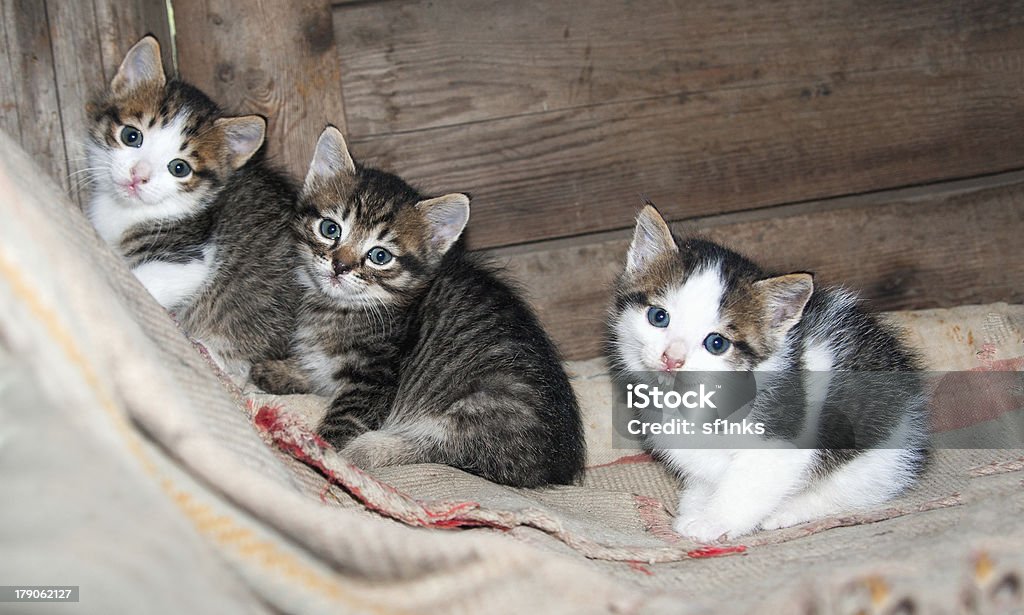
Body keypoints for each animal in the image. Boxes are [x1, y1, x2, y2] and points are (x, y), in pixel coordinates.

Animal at [252, 126, 589, 487]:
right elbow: (320, 373)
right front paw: (282, 371)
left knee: (437, 451)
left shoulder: (374, 383)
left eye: (380, 255)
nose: (340, 267)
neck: (339, 309)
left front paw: (318, 450)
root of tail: (558, 468)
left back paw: (365, 450)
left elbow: (343, 421)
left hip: (483, 406)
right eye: (330, 229)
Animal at [606, 203, 929, 540]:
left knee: (857, 488)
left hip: (880, 451)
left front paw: (712, 522)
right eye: (658, 317)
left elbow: (749, 486)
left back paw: (789, 511)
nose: (672, 358)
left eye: (717, 343)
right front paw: (695, 506)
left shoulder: (780, 442)